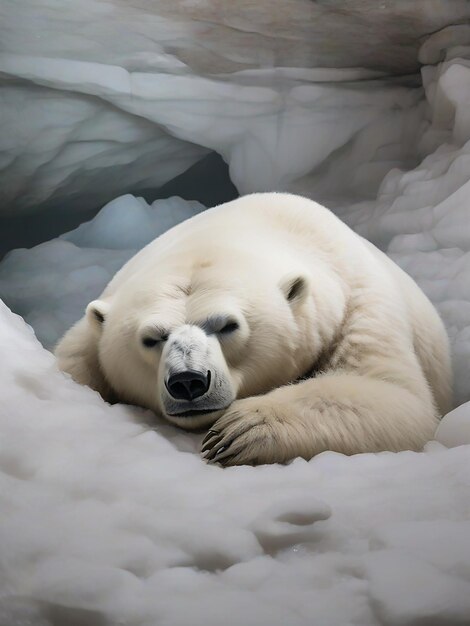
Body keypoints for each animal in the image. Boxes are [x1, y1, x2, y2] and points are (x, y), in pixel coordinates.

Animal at [55, 194, 452, 464]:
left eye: (227, 325)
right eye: (152, 338)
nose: (188, 381)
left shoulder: (356, 306)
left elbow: (393, 396)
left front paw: (237, 431)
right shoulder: (92, 327)